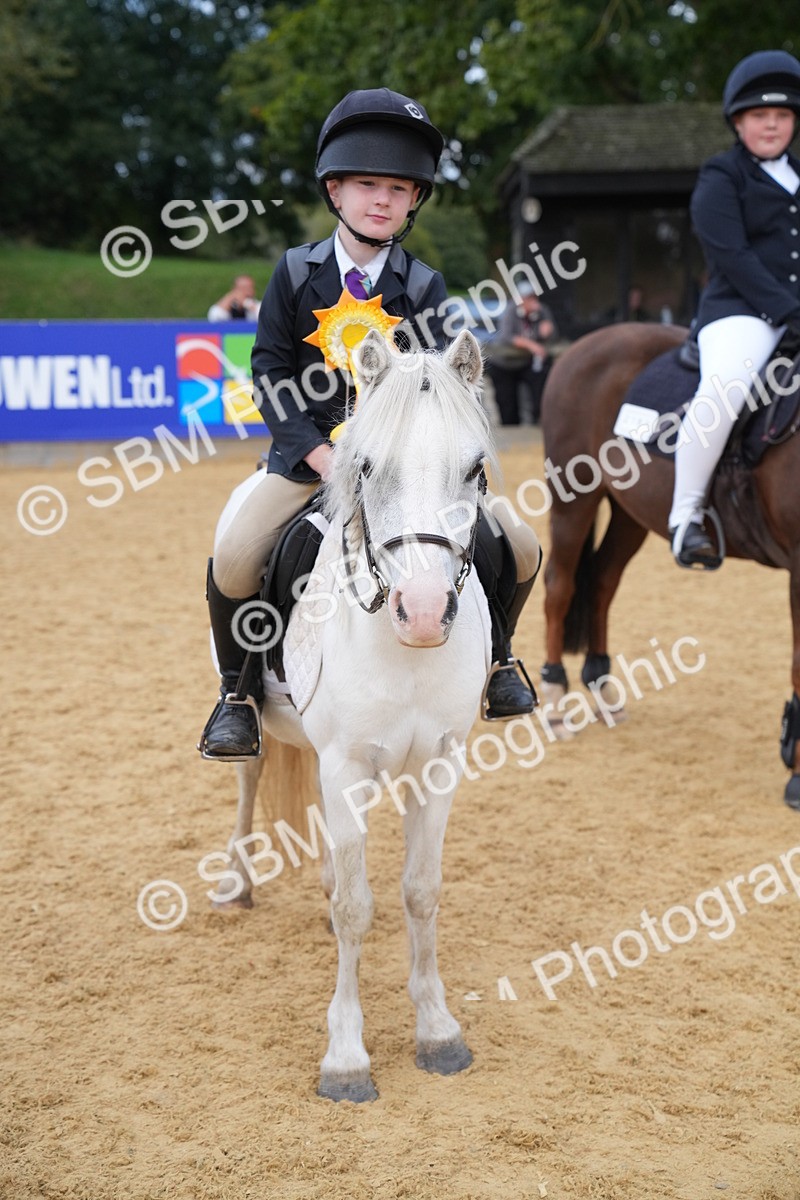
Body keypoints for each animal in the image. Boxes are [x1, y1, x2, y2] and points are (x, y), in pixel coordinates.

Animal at [207, 328, 495, 1102]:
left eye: (475, 468)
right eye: (366, 465)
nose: (423, 613)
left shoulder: (439, 763)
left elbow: (420, 892)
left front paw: (437, 1030)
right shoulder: (347, 765)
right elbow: (355, 910)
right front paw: (345, 1056)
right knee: (248, 779)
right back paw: (235, 884)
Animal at [538, 321, 800, 807]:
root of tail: (587, 342)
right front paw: (795, 776)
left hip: (629, 511)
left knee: (602, 582)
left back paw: (602, 691)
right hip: (575, 499)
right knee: (559, 588)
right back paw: (555, 702)